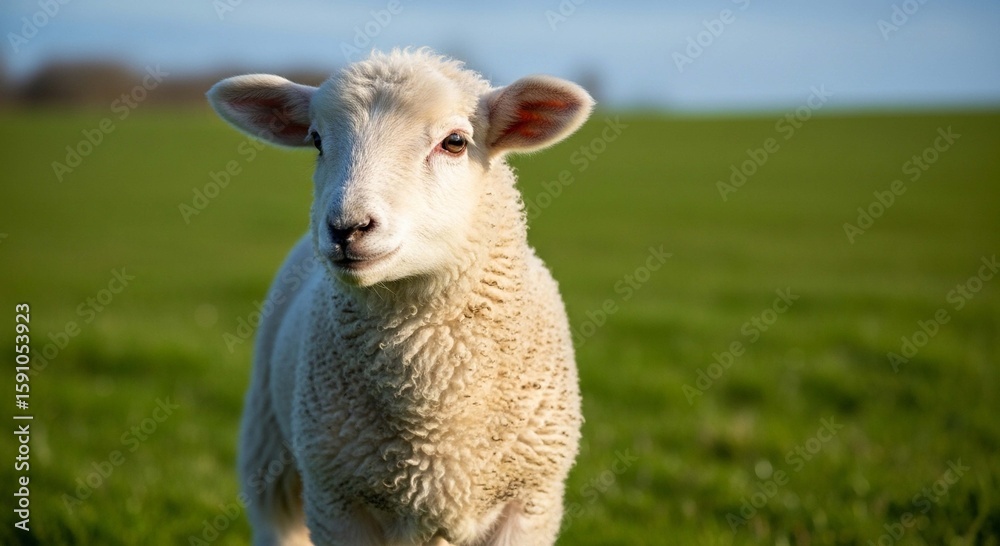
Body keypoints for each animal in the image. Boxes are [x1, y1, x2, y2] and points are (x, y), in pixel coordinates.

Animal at [207, 48, 594, 546]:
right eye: (316, 141)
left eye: (455, 142)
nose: (346, 228)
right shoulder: (337, 500)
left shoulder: (531, 500)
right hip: (268, 445)